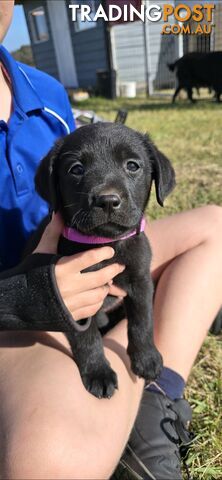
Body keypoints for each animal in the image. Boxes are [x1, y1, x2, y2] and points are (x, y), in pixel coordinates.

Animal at [35, 123, 176, 398]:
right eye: (76, 169)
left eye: (132, 165)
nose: (108, 201)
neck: (106, 243)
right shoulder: (73, 296)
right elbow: (87, 338)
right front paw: (98, 372)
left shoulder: (141, 280)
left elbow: (142, 320)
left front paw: (147, 358)